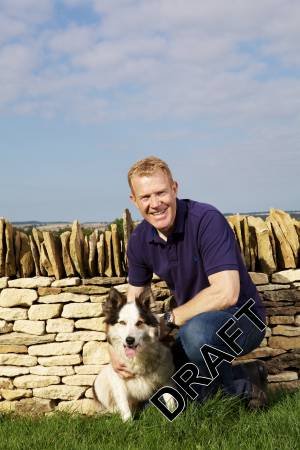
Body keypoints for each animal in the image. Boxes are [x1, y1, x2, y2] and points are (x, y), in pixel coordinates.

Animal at [94, 288, 176, 422]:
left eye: (139, 323)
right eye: (122, 322)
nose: (129, 340)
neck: (137, 358)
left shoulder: (166, 374)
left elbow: (170, 398)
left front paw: (174, 416)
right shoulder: (118, 380)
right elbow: (123, 404)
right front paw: (128, 423)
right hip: (100, 382)